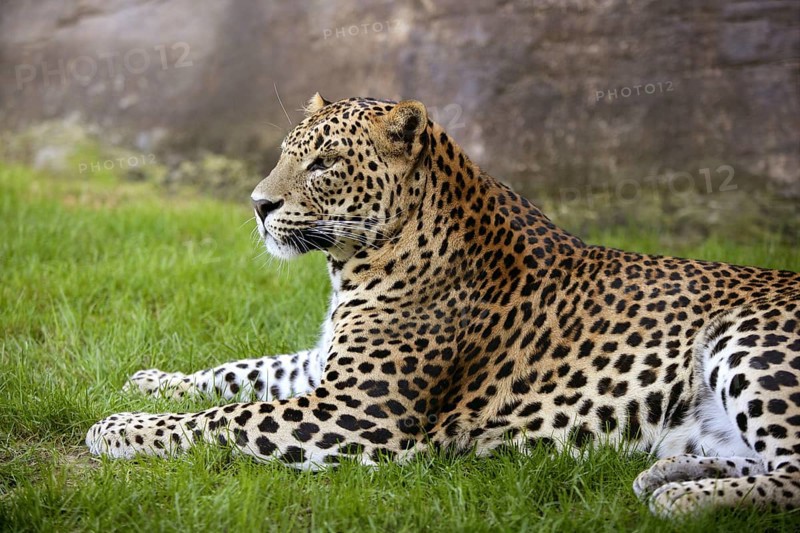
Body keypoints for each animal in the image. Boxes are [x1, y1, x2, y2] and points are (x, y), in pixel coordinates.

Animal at [87, 93, 800, 518]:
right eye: (287, 153)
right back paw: (668, 473)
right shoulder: (321, 370)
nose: (259, 205)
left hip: (749, 343)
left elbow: (226, 418)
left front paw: (118, 428)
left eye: (322, 164)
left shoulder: (357, 413)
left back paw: (684, 499)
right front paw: (150, 381)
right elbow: (239, 372)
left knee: (792, 477)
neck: (355, 263)